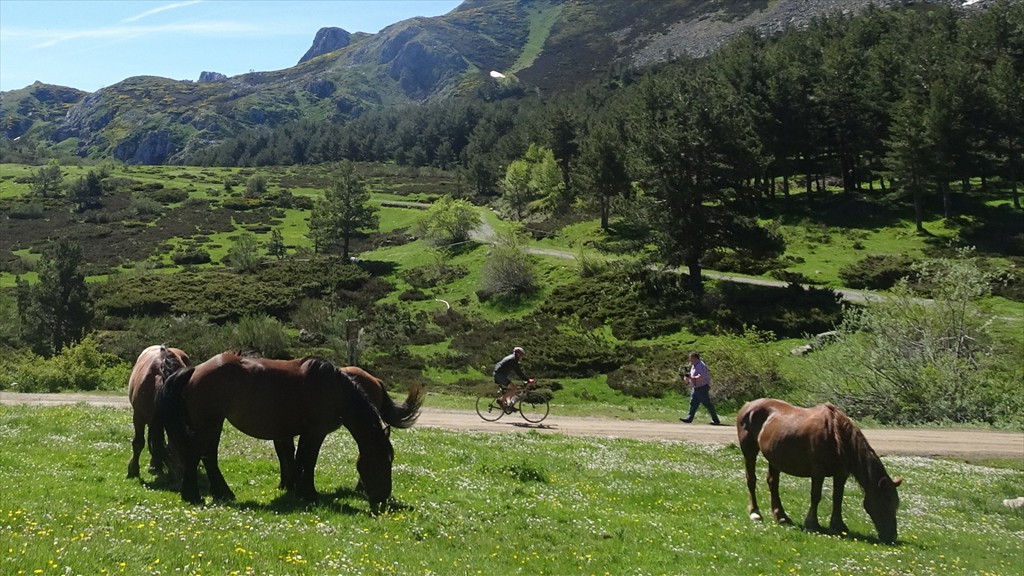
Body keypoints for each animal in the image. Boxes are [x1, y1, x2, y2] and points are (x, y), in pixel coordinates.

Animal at [157, 348, 393, 508]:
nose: (383, 499)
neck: (334, 389)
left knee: (209, 456)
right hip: (207, 422)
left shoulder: (305, 433)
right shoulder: (316, 432)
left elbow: (299, 460)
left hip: (215, 423)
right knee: (195, 453)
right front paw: (309, 493)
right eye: (381, 463)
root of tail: (194, 369)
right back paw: (193, 495)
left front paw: (298, 490)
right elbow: (308, 461)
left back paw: (223, 493)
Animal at [741, 397, 901, 541]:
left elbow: (838, 497)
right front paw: (812, 524)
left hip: (774, 458)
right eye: (884, 503)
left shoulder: (841, 474)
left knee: (773, 484)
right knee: (751, 480)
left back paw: (781, 517)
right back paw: (755, 513)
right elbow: (816, 496)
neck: (836, 435)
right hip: (749, 452)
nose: (891, 536)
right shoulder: (818, 472)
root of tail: (748, 405)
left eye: (895, 504)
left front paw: (838, 526)